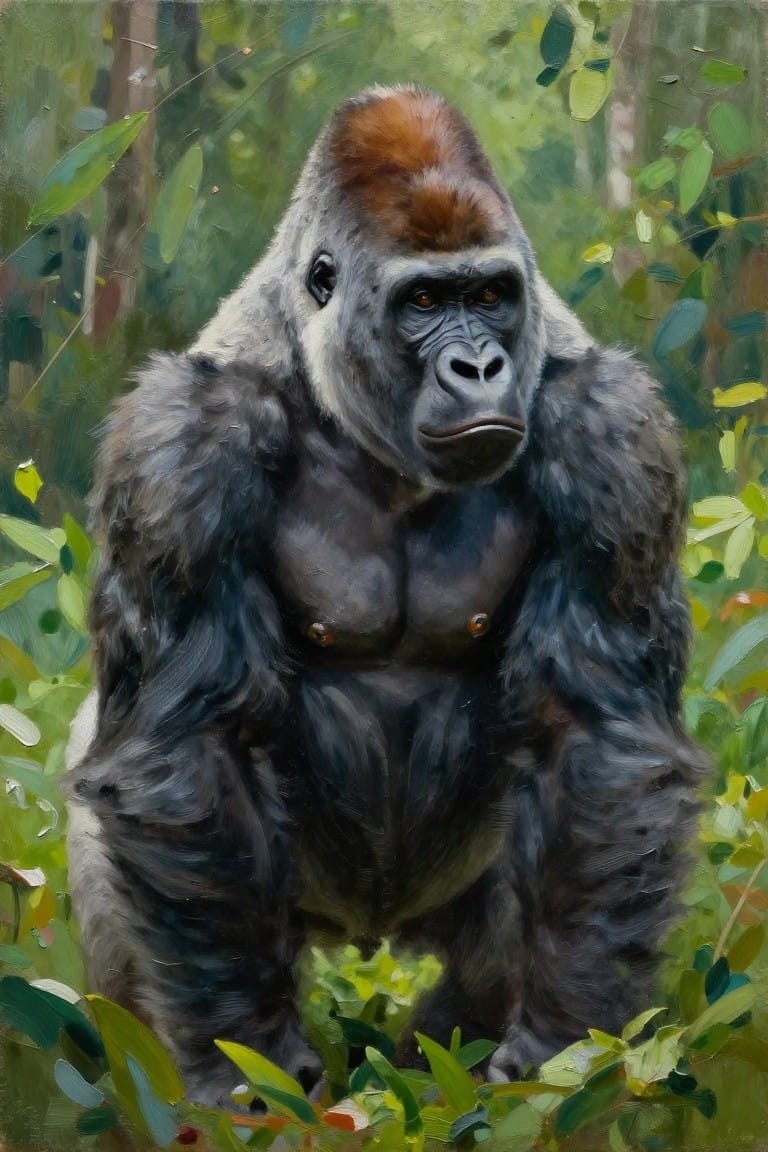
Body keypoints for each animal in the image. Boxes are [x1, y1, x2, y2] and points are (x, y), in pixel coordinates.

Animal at [65, 86, 704, 1106]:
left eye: (491, 296)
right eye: (426, 302)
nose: (478, 367)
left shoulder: (610, 432)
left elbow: (599, 747)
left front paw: (562, 1042)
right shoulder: (180, 447)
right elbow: (186, 749)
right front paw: (246, 1059)